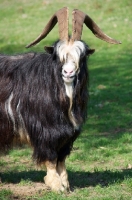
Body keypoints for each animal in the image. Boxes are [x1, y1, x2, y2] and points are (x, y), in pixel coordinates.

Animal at [0, 7, 120, 191]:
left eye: (82, 56)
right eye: (58, 56)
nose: (68, 73)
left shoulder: (67, 134)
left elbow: (61, 159)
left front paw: (66, 184)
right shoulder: (45, 130)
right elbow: (50, 157)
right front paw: (56, 185)